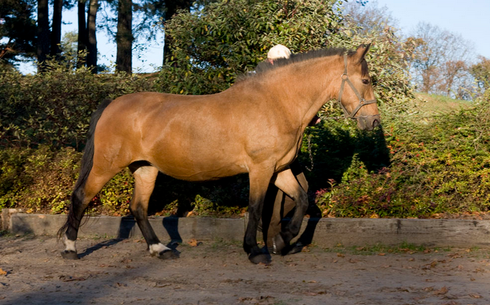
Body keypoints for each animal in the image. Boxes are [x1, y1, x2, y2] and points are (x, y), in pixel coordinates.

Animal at [57, 43, 378, 264]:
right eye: (366, 81)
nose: (373, 122)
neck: (276, 102)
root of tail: (112, 104)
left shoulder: (279, 169)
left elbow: (301, 199)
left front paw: (283, 240)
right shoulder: (260, 169)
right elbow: (256, 208)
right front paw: (255, 251)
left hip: (145, 168)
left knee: (138, 208)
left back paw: (160, 249)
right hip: (106, 165)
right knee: (81, 196)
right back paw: (71, 249)